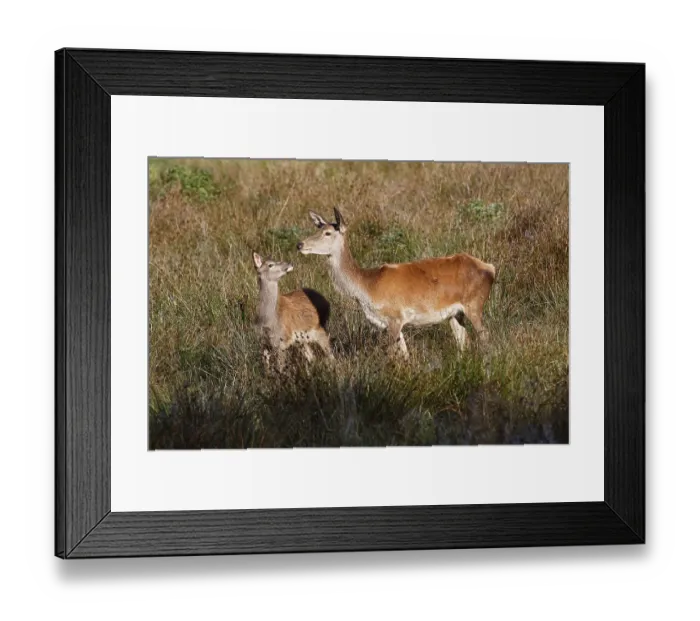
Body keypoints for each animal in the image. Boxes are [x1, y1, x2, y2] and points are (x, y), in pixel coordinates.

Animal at [296, 208, 496, 361]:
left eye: (327, 233)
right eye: (318, 229)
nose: (300, 244)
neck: (367, 287)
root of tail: (491, 268)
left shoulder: (395, 317)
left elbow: (391, 355)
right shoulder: (390, 323)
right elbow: (405, 355)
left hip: (474, 304)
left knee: (485, 336)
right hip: (455, 314)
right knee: (463, 340)